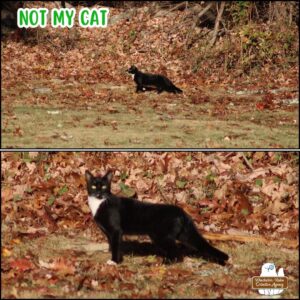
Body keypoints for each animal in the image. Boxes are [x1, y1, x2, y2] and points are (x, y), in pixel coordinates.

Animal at [84, 171, 227, 264]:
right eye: (93, 186)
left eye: (103, 186)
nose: (98, 193)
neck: (100, 203)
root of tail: (182, 212)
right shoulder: (108, 232)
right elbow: (112, 244)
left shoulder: (115, 230)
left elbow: (115, 246)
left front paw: (114, 261)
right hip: (182, 234)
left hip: (160, 236)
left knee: (176, 253)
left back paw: (164, 263)